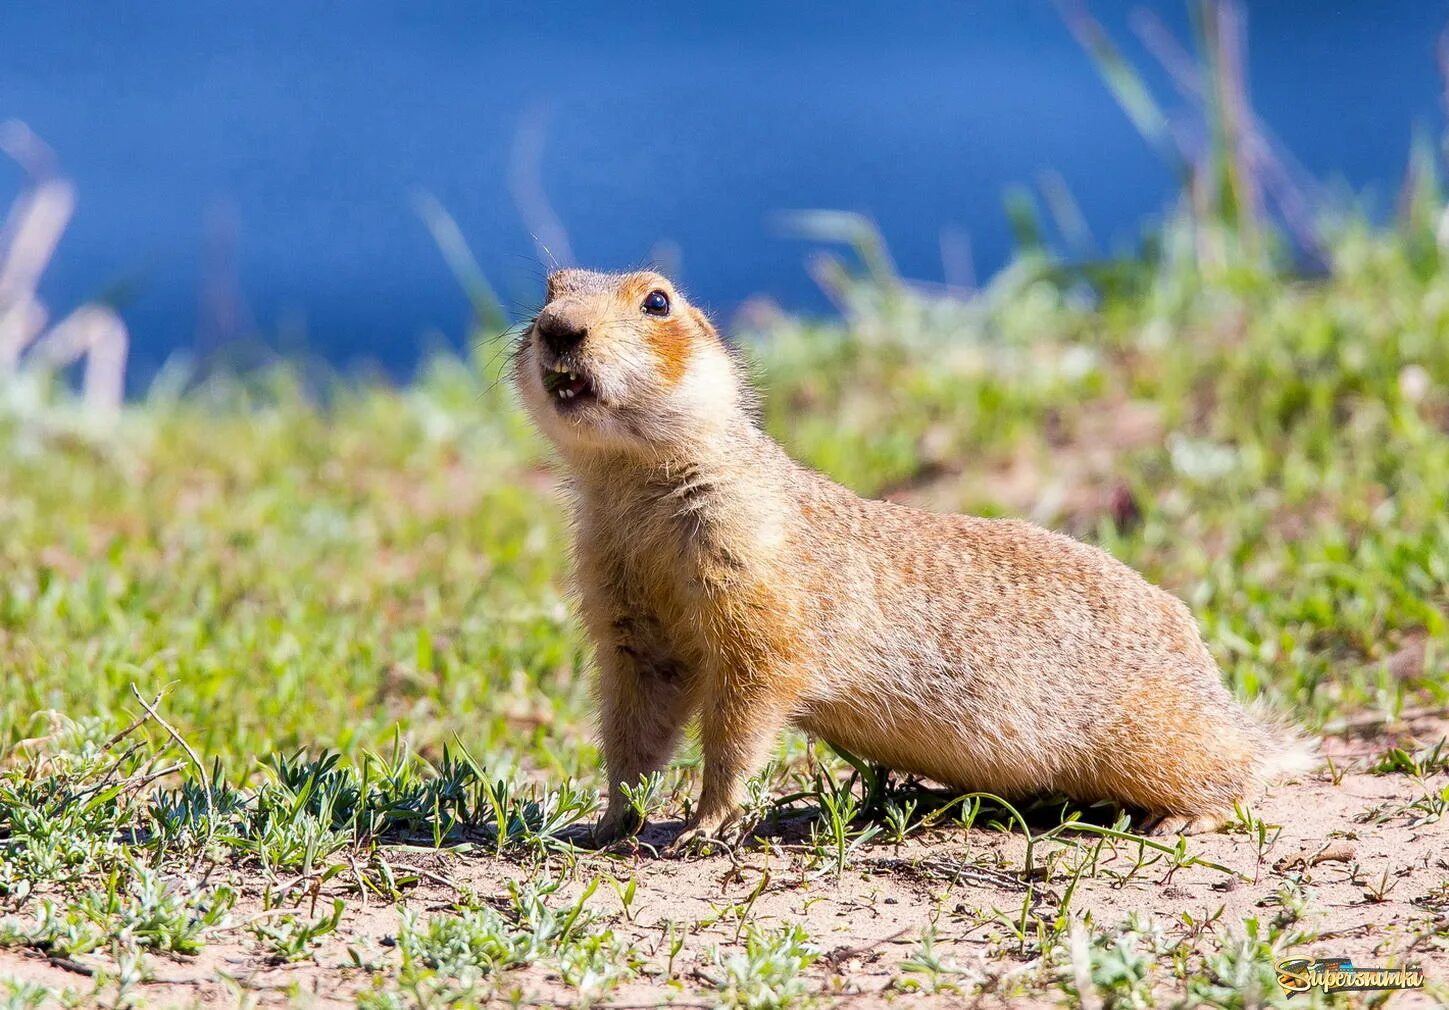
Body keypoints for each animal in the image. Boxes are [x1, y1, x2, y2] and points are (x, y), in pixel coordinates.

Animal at [515, 269, 1321, 852]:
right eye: (549, 289)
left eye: (657, 301)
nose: (558, 328)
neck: (633, 490)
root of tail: (1205, 670)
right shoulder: (620, 596)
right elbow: (637, 710)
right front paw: (608, 820)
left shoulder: (752, 568)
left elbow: (749, 695)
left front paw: (705, 820)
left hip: (1154, 733)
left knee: (1246, 768)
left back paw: (1189, 814)